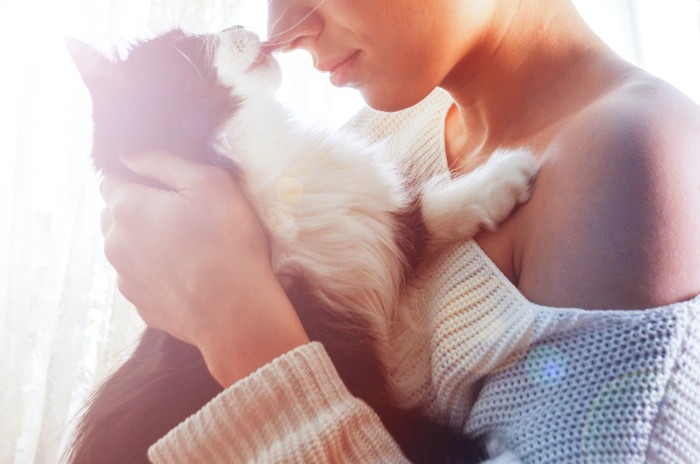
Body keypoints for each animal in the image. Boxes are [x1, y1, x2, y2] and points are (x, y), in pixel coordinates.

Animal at [65, 26, 536, 464]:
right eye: (187, 41)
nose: (237, 24)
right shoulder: (345, 360)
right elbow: (407, 432)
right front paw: (496, 454)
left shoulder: (361, 232)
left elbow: (424, 211)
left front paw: (505, 177)